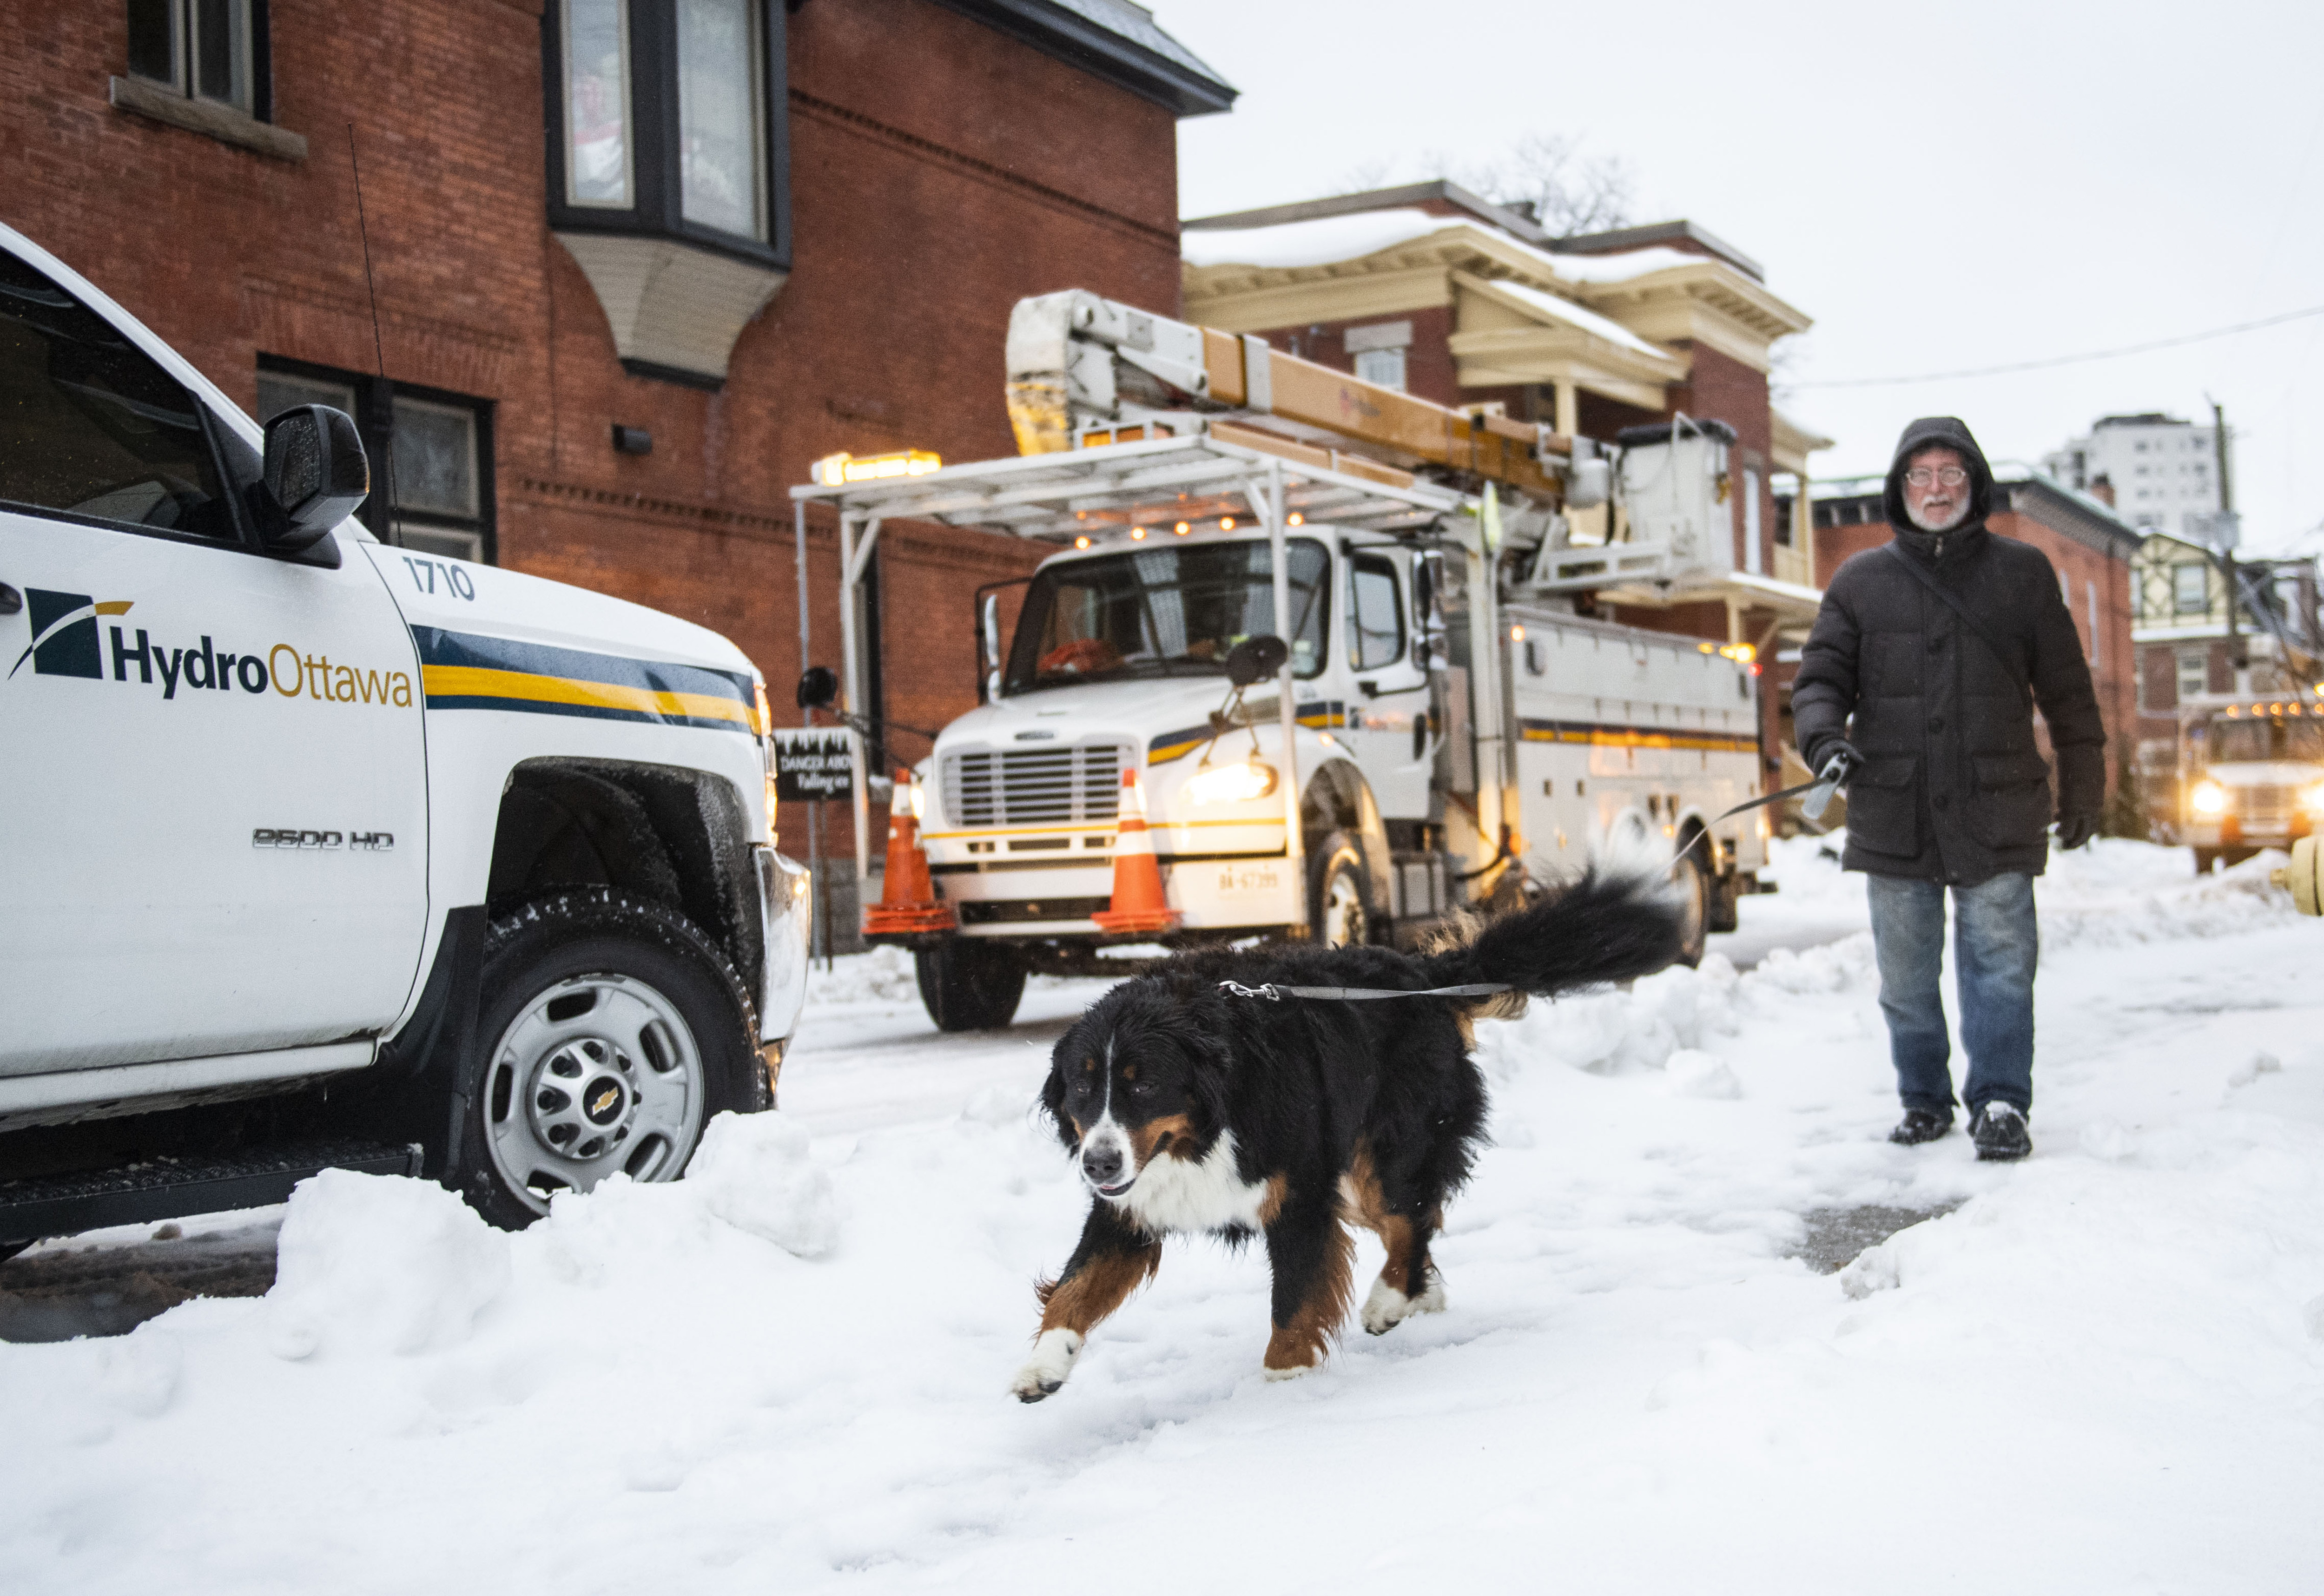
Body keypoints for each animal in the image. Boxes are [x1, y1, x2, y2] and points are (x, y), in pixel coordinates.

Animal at [1009, 859, 1683, 1394]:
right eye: (1082, 1087)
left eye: (1144, 1083)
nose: (1097, 1162)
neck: (1213, 1117)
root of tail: (1424, 976)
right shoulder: (1129, 1207)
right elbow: (1075, 1287)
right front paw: (1044, 1365)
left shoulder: (1299, 1196)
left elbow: (1294, 1301)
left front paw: (1286, 1384)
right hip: (1358, 1171)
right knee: (1414, 1221)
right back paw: (1420, 1293)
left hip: (1387, 1148)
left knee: (1410, 1217)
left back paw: (1390, 1299)